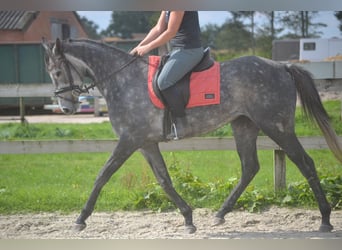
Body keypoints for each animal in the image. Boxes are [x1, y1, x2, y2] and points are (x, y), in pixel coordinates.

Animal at [42, 38, 342, 233]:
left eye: (57, 71)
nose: (66, 108)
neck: (122, 80)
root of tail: (282, 67)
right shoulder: (146, 143)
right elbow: (164, 180)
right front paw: (188, 218)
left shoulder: (129, 141)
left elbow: (102, 175)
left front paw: (81, 219)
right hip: (244, 125)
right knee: (250, 167)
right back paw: (220, 215)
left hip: (277, 126)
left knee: (305, 163)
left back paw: (325, 220)